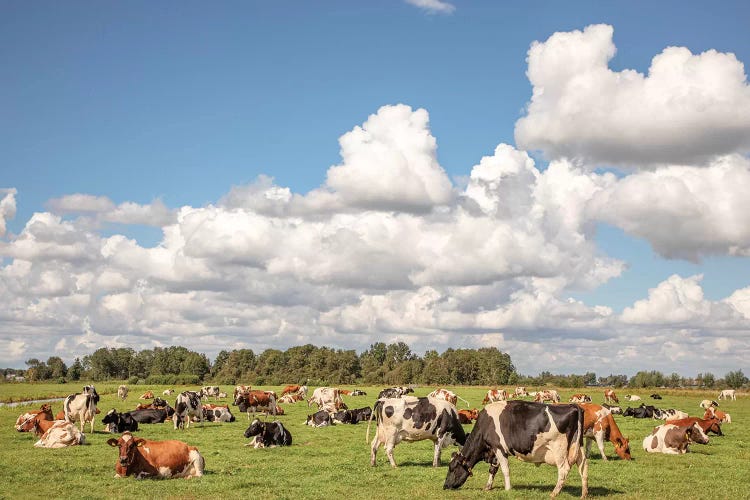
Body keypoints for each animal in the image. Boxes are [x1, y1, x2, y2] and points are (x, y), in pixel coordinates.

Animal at [444, 400, 592, 498]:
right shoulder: (494, 451)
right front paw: (488, 486)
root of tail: (573, 406)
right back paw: (584, 494)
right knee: (583, 467)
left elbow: (505, 470)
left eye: (452, 468)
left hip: (559, 449)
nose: (445, 486)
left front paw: (508, 489)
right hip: (578, 446)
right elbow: (493, 469)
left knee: (563, 469)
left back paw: (554, 493)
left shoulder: (499, 448)